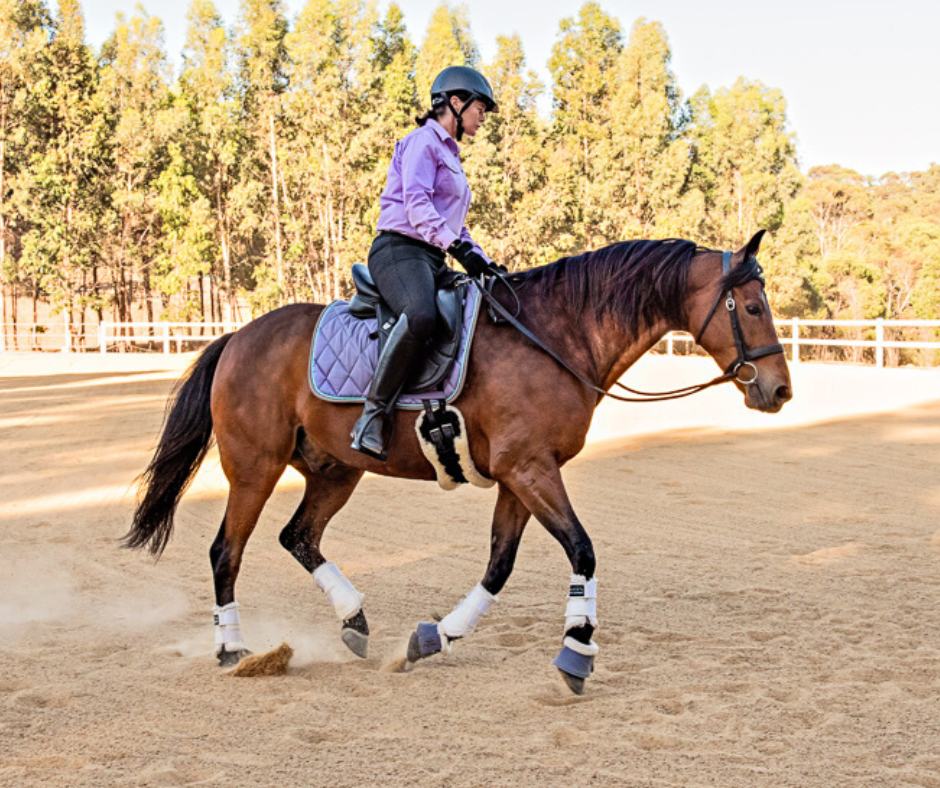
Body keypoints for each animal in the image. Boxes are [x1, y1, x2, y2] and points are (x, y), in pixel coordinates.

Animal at [124, 230, 792, 694]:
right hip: (254, 469)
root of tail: (238, 337)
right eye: (753, 307)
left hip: (336, 470)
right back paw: (234, 651)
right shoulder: (530, 470)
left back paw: (353, 621)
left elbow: (499, 565)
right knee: (226, 552)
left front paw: (432, 638)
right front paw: (576, 653)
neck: (554, 336)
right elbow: (582, 551)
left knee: (299, 536)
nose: (780, 390)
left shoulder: (521, 476)